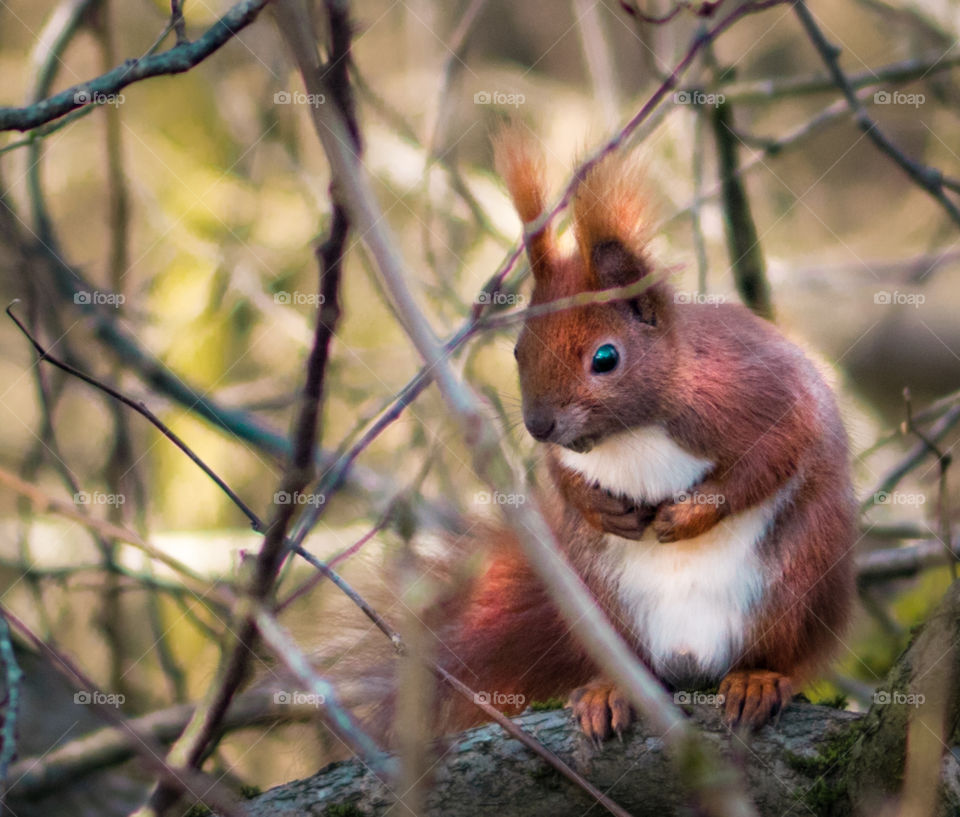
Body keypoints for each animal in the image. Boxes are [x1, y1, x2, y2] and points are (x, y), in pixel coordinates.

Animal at [418, 126, 856, 740]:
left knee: (783, 654)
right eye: (518, 350)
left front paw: (689, 514)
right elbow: (562, 475)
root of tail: (691, 659)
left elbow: (773, 456)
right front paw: (600, 507)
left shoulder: (761, 394)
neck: (630, 433)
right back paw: (611, 691)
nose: (538, 424)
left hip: (796, 583)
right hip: (603, 607)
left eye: (606, 358)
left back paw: (757, 679)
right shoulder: (566, 455)